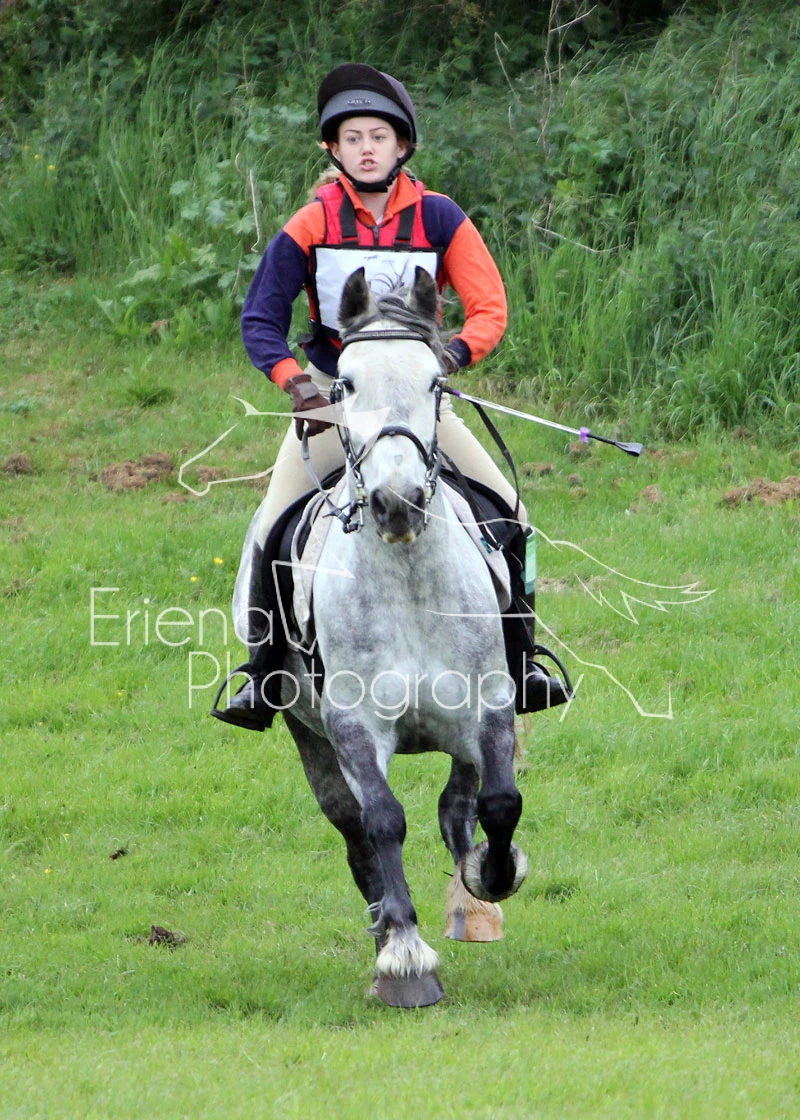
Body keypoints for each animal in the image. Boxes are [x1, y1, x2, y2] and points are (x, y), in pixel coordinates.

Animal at [276, 266, 528, 1007]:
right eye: (345, 383)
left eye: (435, 382)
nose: (397, 503)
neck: (409, 575)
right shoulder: (353, 724)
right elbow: (383, 820)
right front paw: (406, 958)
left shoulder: (488, 705)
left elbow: (498, 803)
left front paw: (490, 876)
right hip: (310, 735)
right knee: (357, 830)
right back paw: (388, 929)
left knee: (459, 802)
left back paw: (472, 901)